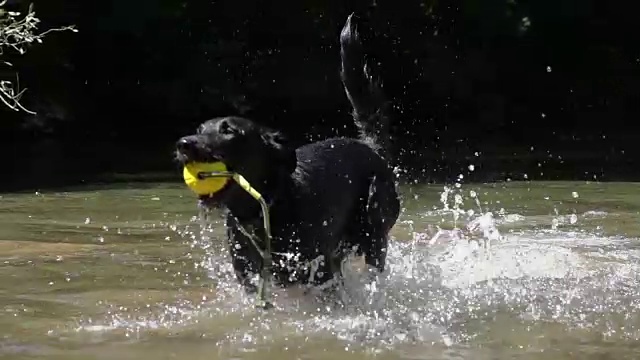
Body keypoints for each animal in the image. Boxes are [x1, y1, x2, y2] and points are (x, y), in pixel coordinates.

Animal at [175, 14, 400, 294]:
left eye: (229, 131)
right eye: (199, 130)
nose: (184, 144)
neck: (264, 211)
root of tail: (370, 148)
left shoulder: (320, 274)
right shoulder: (249, 277)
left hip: (375, 230)